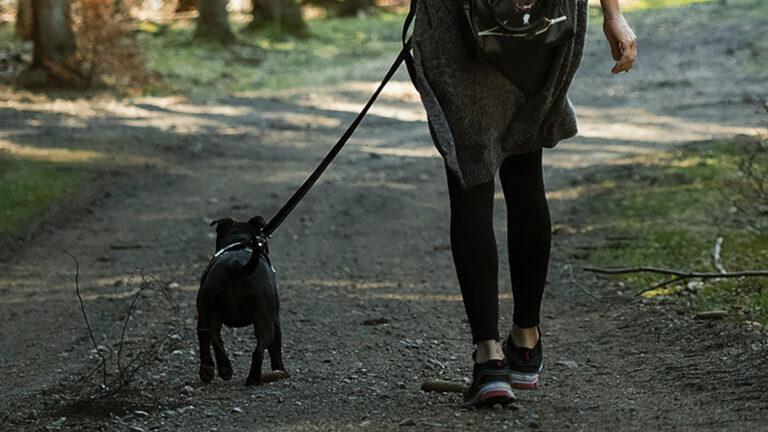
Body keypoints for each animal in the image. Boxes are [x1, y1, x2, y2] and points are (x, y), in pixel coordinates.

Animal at [195, 215, 284, 384]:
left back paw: (218, 369)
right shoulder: (276, 320)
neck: (240, 241)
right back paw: (254, 378)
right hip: (266, 321)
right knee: (259, 349)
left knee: (212, 337)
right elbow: (276, 349)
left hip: (208, 312)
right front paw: (280, 370)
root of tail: (236, 265)